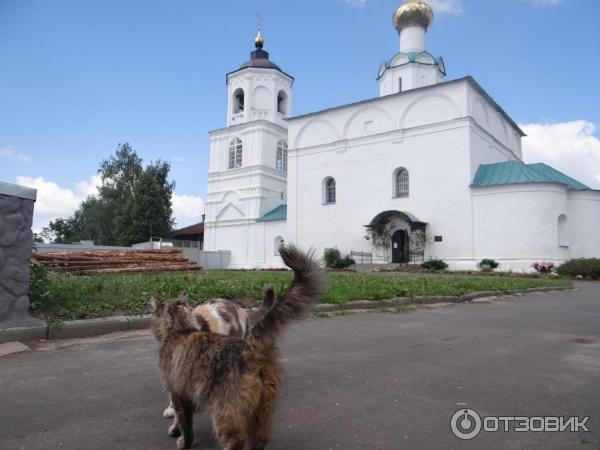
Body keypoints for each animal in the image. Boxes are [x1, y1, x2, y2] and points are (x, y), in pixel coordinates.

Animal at [152, 246, 326, 450]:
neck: (181, 327)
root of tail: (250, 347)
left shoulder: (179, 391)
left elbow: (184, 422)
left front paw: (181, 437)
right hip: (262, 411)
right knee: (258, 439)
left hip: (226, 410)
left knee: (236, 440)